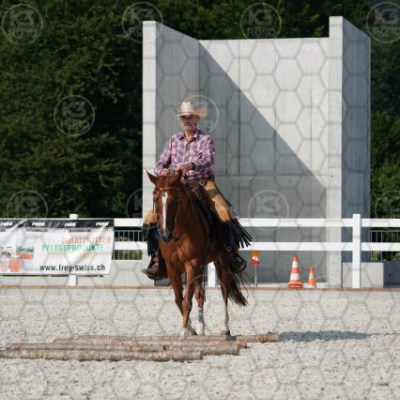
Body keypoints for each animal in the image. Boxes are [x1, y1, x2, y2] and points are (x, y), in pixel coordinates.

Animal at [147, 170, 249, 339]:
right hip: (201, 266)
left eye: (176, 200)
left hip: (222, 264)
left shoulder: (192, 264)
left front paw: (183, 332)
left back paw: (224, 328)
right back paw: (201, 327)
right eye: (156, 199)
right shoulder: (172, 268)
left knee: (225, 292)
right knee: (200, 294)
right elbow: (179, 299)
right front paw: (190, 328)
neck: (180, 233)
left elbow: (186, 300)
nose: (165, 236)